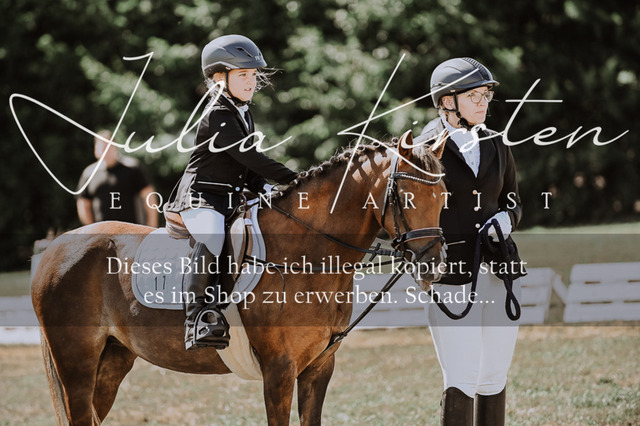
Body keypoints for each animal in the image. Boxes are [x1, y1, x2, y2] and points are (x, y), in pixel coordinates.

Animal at [31, 131, 446, 425]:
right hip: (76, 363)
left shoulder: (318, 368)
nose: (435, 266)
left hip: (111, 362)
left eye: (444, 197)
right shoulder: (279, 371)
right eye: (407, 198)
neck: (305, 255)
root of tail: (55, 247)